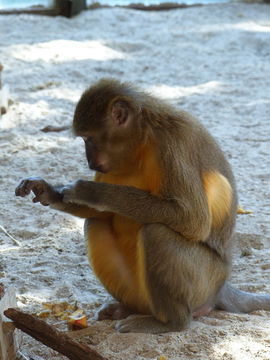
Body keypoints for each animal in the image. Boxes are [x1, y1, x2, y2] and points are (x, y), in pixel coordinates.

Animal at [15, 78, 270, 332]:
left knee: (156, 233)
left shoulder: (171, 144)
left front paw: (90, 191)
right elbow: (100, 213)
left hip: (204, 283)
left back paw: (173, 323)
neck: (142, 139)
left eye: (89, 139)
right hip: (141, 293)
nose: (89, 161)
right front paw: (48, 192)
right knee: (96, 223)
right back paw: (128, 309)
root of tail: (221, 288)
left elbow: (193, 220)